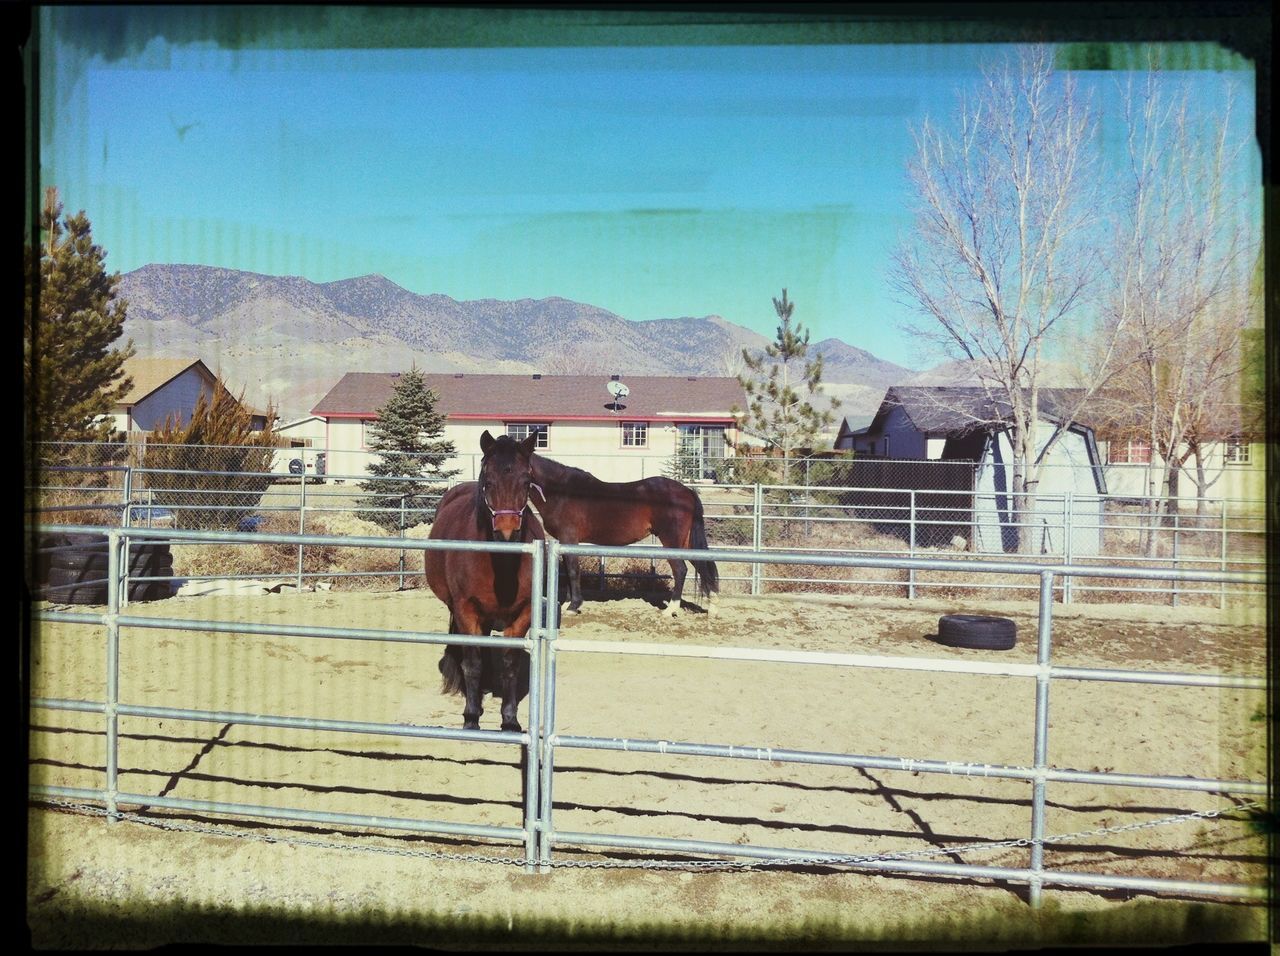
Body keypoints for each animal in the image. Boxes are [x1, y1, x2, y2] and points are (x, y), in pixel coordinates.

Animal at [422, 432, 537, 732]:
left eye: (526, 482)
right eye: (489, 482)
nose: (507, 532)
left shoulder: (524, 613)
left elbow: (510, 663)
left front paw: (510, 719)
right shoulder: (466, 609)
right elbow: (472, 662)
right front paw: (471, 716)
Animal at [524, 455, 716, 616]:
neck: (562, 492)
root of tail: (687, 491)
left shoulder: (569, 538)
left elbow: (572, 571)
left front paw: (572, 607)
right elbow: (568, 569)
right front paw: (567, 605)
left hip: (671, 542)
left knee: (680, 570)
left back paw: (670, 610)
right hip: (686, 543)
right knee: (702, 565)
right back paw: (712, 605)